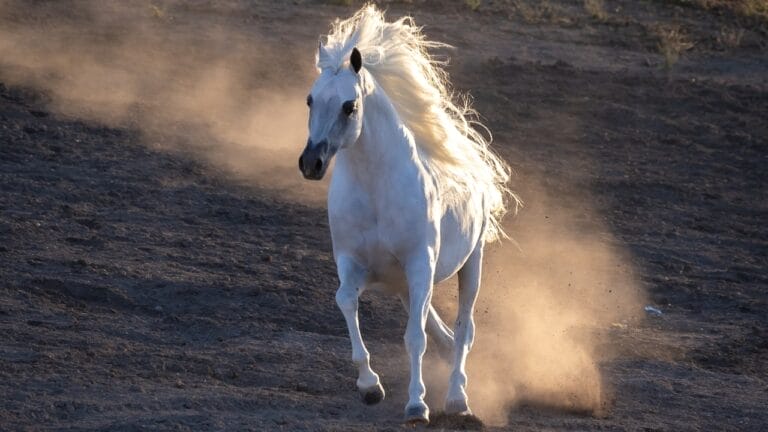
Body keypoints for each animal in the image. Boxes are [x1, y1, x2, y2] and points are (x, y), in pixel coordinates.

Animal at [298, 5, 518, 425]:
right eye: (310, 100)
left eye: (349, 106)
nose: (310, 163)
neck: (375, 192)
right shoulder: (351, 262)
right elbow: (345, 301)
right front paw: (370, 386)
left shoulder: (420, 263)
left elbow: (414, 338)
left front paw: (417, 405)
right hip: (406, 281)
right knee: (440, 328)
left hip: (471, 263)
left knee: (464, 329)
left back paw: (457, 399)